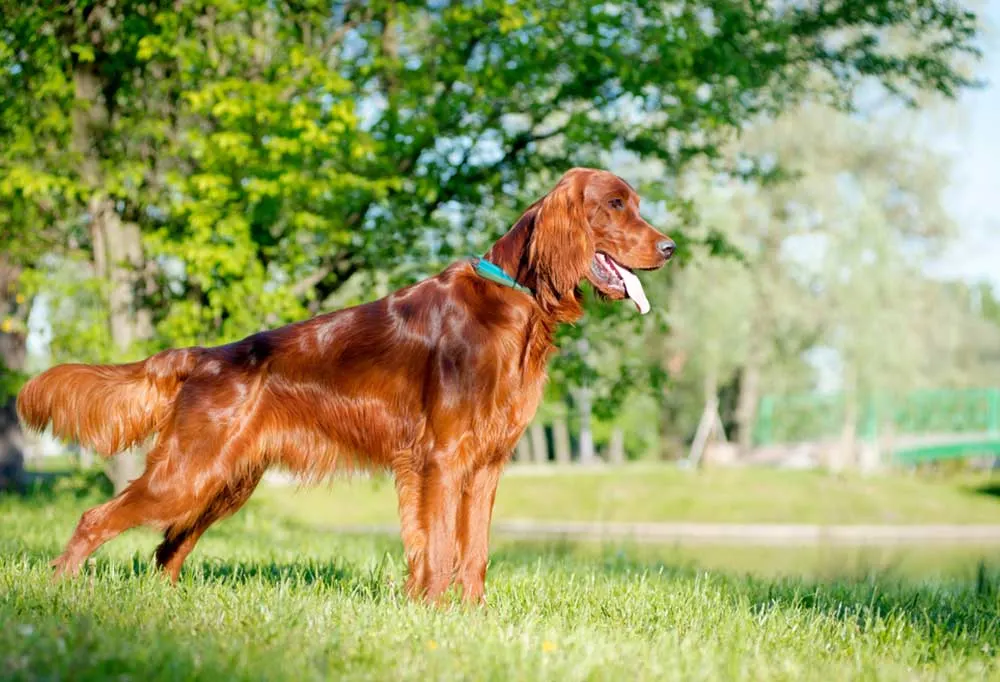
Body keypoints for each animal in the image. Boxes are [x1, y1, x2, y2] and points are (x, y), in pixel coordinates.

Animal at [17, 167, 672, 604]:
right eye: (616, 204)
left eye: (636, 203)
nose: (670, 247)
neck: (513, 299)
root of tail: (206, 357)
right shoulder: (440, 459)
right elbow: (439, 547)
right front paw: (435, 614)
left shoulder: (486, 464)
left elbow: (475, 553)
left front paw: (473, 617)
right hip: (187, 472)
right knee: (97, 518)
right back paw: (58, 590)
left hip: (224, 480)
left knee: (167, 547)